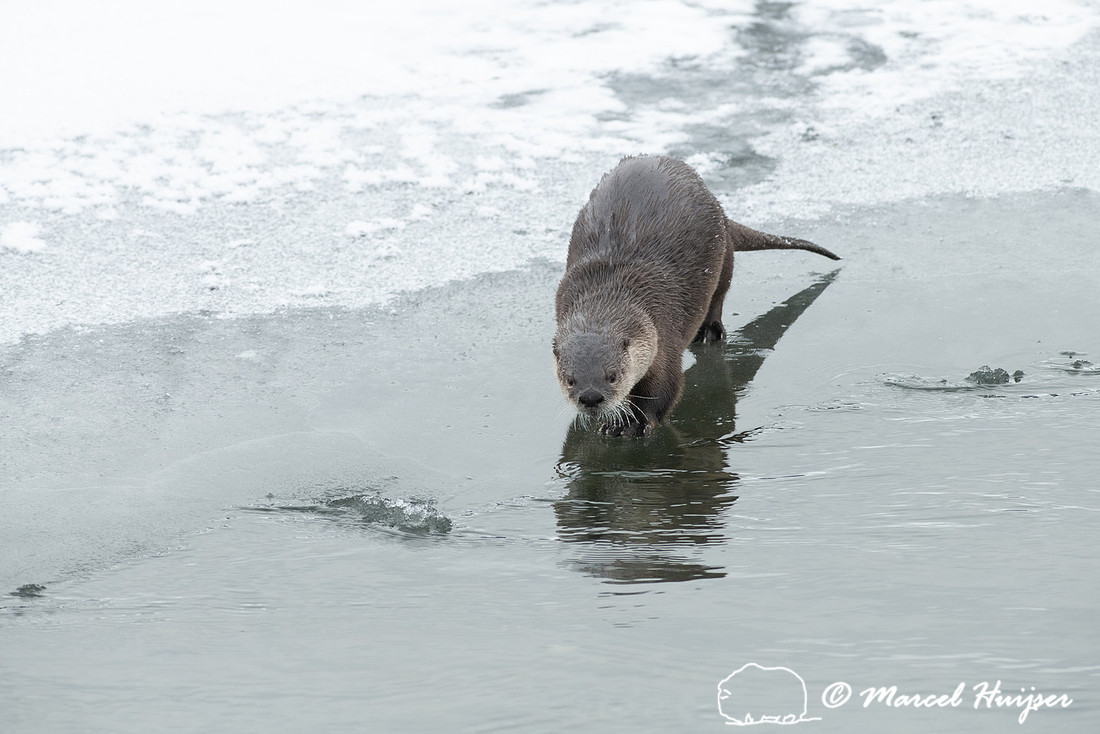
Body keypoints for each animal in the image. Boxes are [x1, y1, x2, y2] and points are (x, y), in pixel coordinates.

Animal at [553, 155, 839, 437]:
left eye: (612, 375)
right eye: (570, 380)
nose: (591, 397)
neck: (612, 284)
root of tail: (720, 208)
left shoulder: (661, 332)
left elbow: (665, 388)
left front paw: (631, 424)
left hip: (723, 253)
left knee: (719, 293)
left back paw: (709, 331)